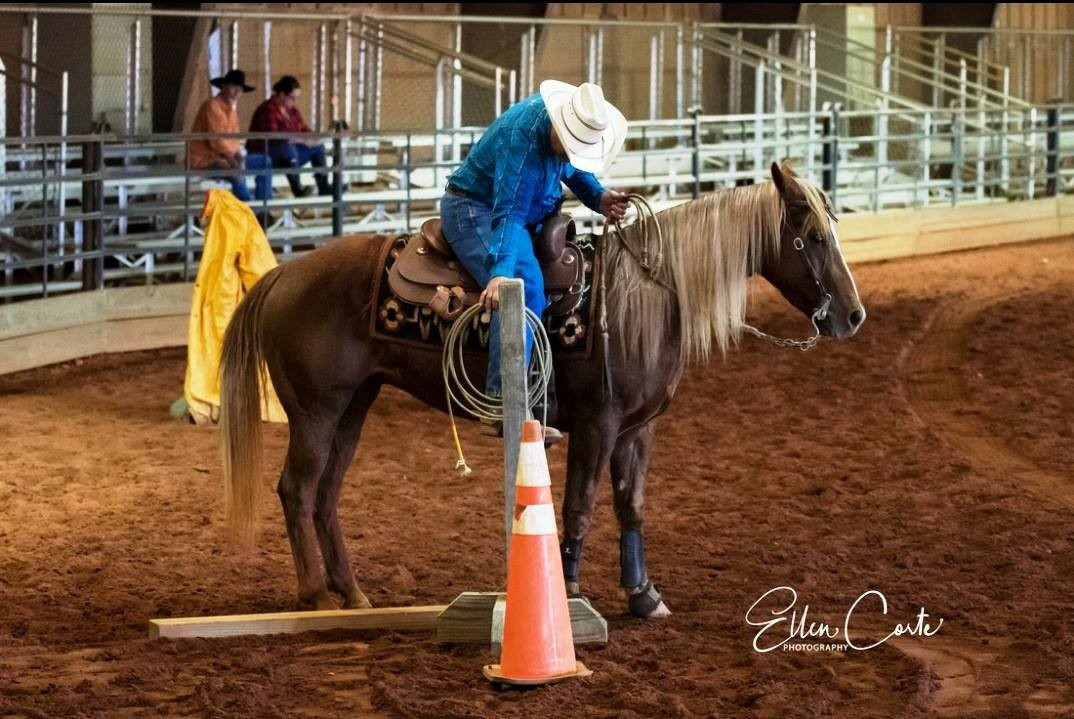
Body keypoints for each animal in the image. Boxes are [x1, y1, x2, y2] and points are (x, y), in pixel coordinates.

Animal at [219, 162, 865, 618]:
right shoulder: (597, 425)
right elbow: (579, 506)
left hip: (355, 405)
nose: (853, 316)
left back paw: (351, 594)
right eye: (812, 237)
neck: (647, 297)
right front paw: (572, 590)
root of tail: (284, 274)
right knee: (297, 490)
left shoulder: (638, 430)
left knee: (326, 495)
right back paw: (314, 595)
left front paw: (643, 595)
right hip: (315, 410)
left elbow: (631, 506)